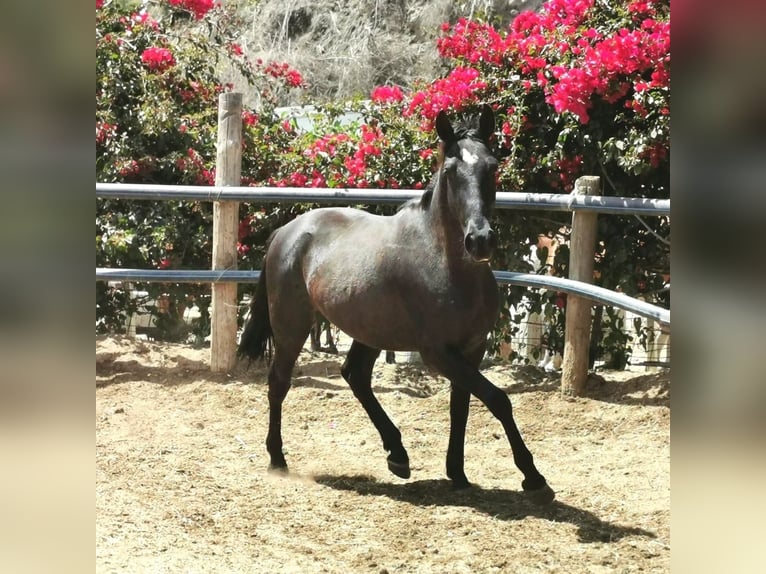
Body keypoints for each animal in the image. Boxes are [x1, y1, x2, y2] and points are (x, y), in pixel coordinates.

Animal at [240, 106, 560, 506]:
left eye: (492, 166)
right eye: (450, 170)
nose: (480, 240)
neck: (447, 265)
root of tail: (286, 232)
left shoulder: (471, 348)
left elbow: (462, 405)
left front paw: (458, 473)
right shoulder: (438, 351)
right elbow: (497, 398)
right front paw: (533, 476)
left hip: (368, 329)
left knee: (355, 375)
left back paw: (397, 454)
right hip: (291, 326)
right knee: (279, 382)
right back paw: (277, 459)